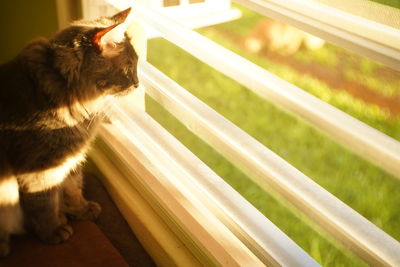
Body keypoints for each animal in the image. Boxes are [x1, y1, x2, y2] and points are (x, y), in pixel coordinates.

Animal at [0, 8, 139, 258]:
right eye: (129, 67)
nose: (137, 83)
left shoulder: (70, 158)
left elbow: (72, 188)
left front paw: (80, 210)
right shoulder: (40, 168)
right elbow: (44, 205)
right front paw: (54, 230)